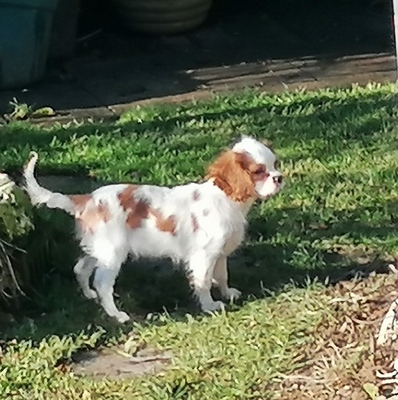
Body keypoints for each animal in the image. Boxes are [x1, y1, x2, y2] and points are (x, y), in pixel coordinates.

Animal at [24, 136, 282, 324]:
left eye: (275, 165)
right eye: (259, 171)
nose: (279, 178)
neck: (227, 198)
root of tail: (87, 199)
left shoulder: (219, 253)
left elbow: (222, 275)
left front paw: (228, 293)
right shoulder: (204, 255)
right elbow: (204, 281)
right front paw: (210, 305)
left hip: (98, 248)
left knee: (80, 268)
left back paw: (89, 295)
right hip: (113, 253)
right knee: (103, 284)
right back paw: (116, 315)